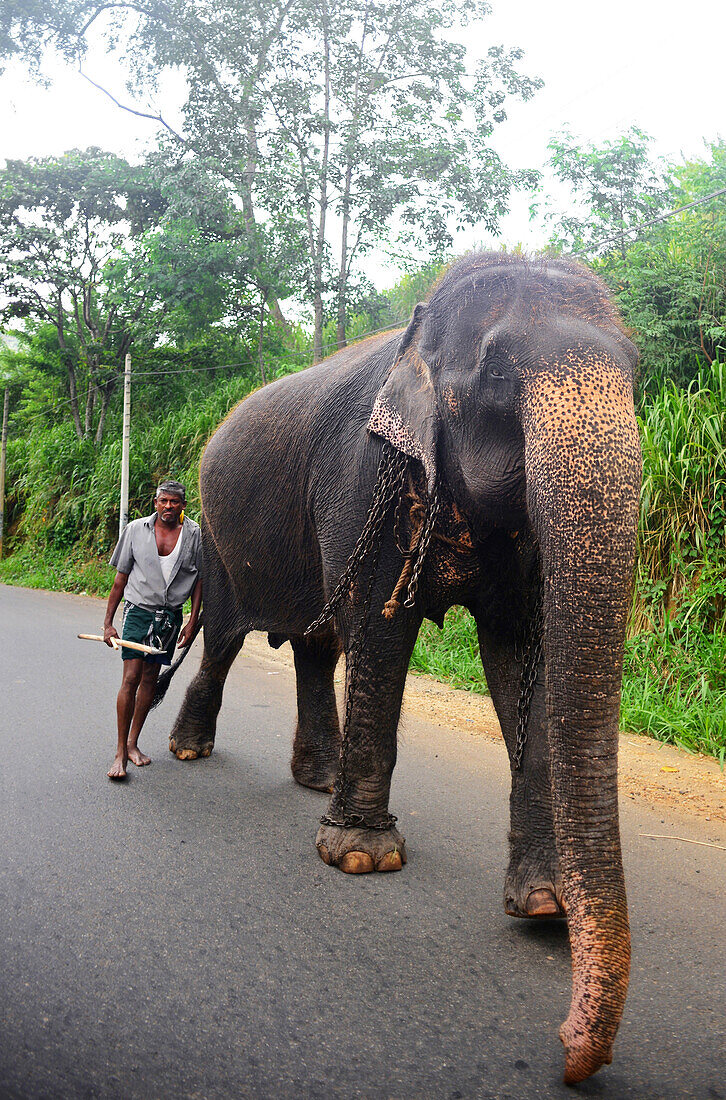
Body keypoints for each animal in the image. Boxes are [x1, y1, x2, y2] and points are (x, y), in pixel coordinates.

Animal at [158, 255, 642, 1082]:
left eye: (637, 372)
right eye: (499, 375)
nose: (568, 1047)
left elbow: (521, 653)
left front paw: (545, 904)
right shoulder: (366, 479)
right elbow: (382, 637)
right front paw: (362, 859)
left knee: (317, 646)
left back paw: (315, 779)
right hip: (217, 536)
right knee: (223, 639)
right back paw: (190, 751)